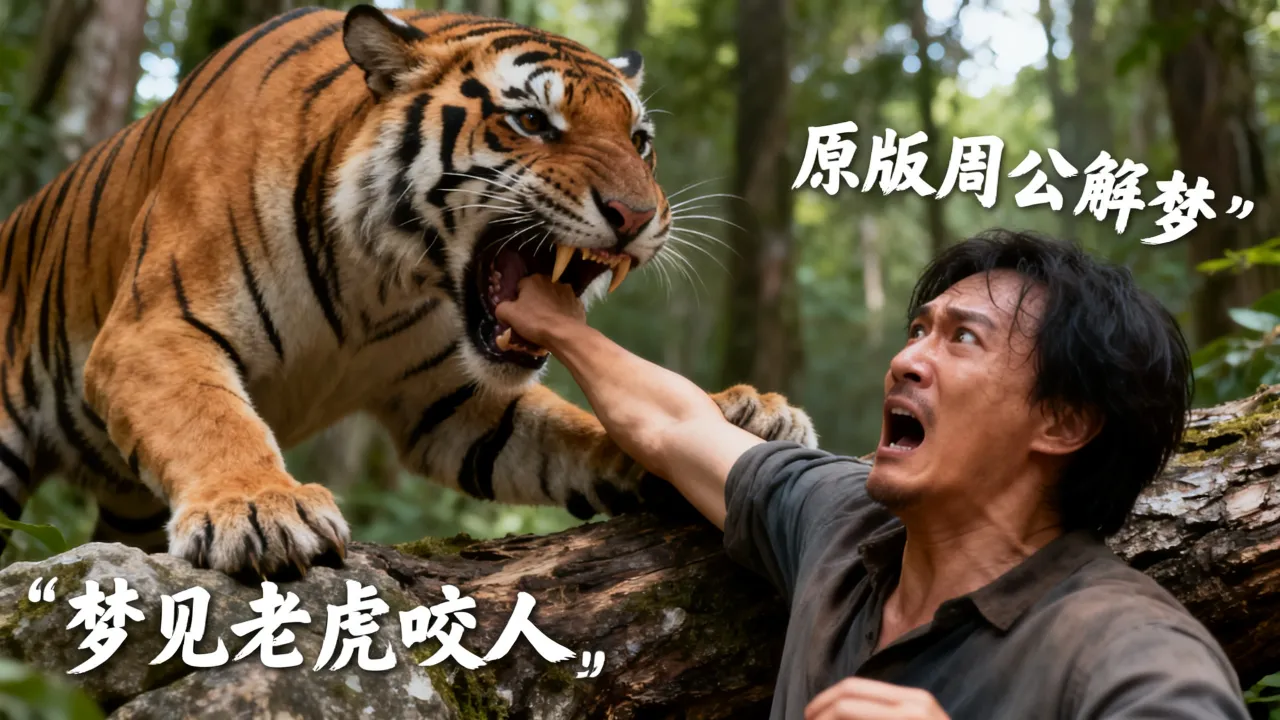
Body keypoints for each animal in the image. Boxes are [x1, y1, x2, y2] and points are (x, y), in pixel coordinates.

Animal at [0, 5, 817, 578]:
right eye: (532, 121)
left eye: (640, 142)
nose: (639, 215)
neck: (379, 280)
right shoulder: (154, 328)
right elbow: (213, 418)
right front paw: (262, 509)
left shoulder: (452, 403)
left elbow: (579, 429)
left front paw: (737, 417)